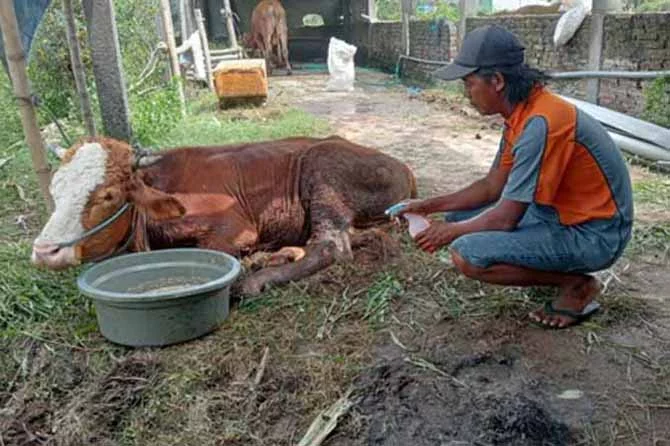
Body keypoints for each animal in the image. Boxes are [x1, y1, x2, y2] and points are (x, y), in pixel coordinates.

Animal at [34, 136, 418, 296]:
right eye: (55, 188)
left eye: (108, 195)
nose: (44, 251)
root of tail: (404, 167)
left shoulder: (233, 227)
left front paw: (252, 265)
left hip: (322, 168)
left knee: (330, 246)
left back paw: (259, 277)